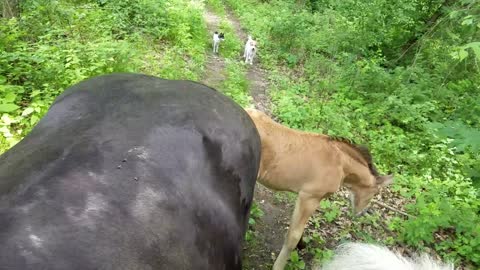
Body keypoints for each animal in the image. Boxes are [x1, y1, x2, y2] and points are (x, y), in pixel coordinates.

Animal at [248, 108, 394, 270]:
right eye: (375, 193)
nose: (360, 212)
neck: (340, 164)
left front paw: (302, 245)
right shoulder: (309, 197)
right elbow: (293, 236)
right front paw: (279, 265)